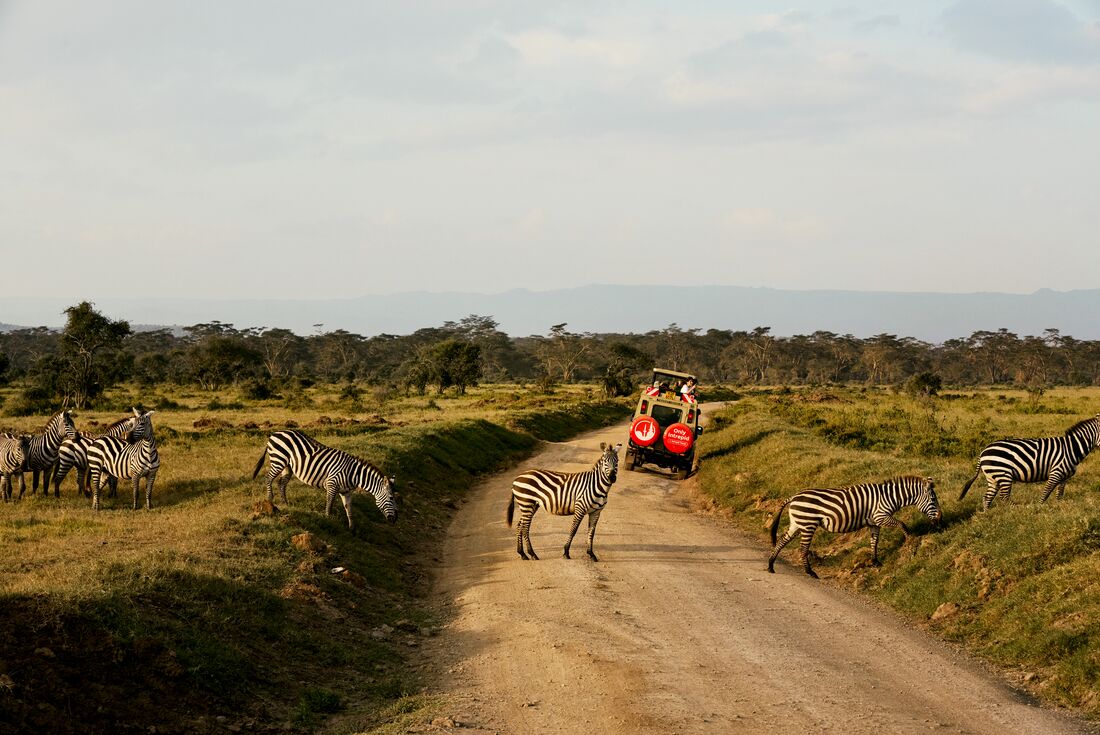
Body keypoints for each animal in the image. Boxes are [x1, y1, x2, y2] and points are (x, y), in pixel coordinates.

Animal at [251, 430, 397, 529]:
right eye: (391, 498)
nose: (395, 519)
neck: (354, 475)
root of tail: (274, 433)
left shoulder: (347, 492)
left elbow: (349, 509)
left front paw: (352, 528)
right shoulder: (332, 484)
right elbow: (329, 504)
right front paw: (328, 519)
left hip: (288, 466)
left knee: (281, 483)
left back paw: (285, 503)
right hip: (278, 460)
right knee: (268, 478)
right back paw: (270, 499)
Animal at [768, 475, 941, 578]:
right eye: (933, 499)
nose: (940, 518)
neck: (890, 497)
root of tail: (793, 497)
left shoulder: (874, 523)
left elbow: (874, 542)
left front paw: (875, 562)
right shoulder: (881, 516)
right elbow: (901, 523)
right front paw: (909, 538)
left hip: (797, 524)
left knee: (782, 541)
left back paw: (770, 565)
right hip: (808, 524)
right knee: (803, 549)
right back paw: (810, 572)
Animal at [959, 414, 1100, 511]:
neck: (1072, 448)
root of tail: (983, 452)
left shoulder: (1064, 477)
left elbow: (1059, 494)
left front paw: (1059, 508)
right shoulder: (1056, 472)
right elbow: (1046, 492)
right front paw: (1038, 509)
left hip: (992, 477)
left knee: (987, 497)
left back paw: (987, 516)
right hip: (1003, 474)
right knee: (1004, 497)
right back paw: (1018, 510)